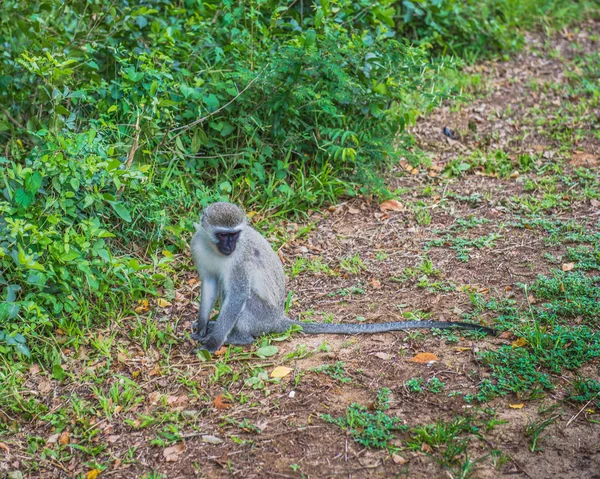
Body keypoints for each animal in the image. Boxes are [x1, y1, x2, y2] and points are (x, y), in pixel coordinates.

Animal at [190, 202, 494, 352]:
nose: (230, 246)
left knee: (242, 303)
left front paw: (213, 342)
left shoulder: (240, 260)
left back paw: (238, 338)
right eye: (223, 235)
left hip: (262, 317)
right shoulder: (198, 246)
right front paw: (203, 327)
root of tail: (280, 319)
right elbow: (209, 284)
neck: (217, 250)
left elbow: (238, 294)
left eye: (235, 235)